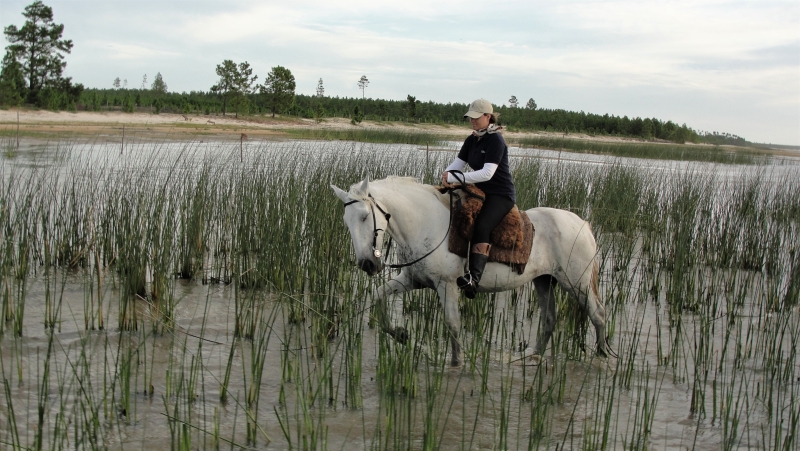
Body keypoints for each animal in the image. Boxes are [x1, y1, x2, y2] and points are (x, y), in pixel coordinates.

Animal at [328, 177, 608, 368]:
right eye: (346, 221)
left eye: (365, 217)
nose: (367, 265)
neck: (425, 223)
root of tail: (582, 224)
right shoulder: (411, 280)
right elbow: (378, 296)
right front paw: (401, 334)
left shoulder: (447, 285)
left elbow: (452, 323)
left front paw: (456, 363)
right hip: (544, 280)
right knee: (550, 319)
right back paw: (532, 355)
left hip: (577, 283)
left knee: (597, 315)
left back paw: (602, 355)